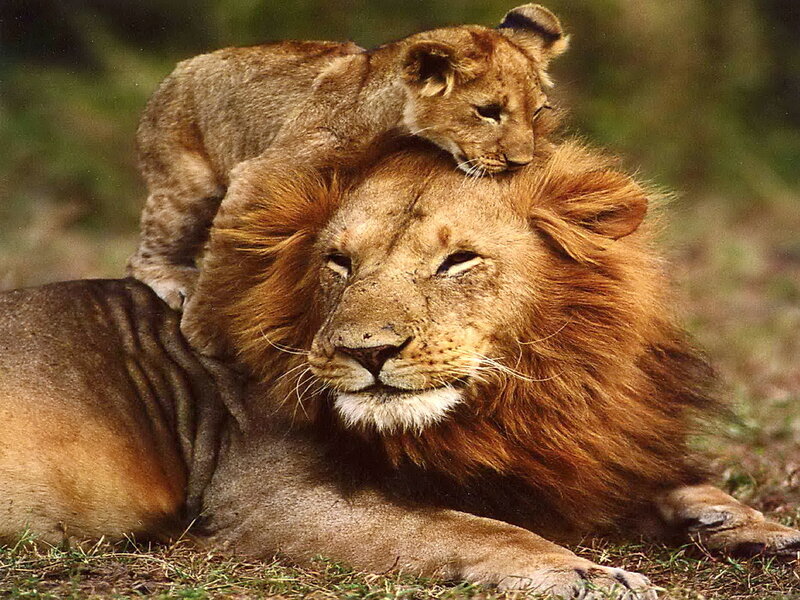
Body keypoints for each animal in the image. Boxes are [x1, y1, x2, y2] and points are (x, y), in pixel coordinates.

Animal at [2, 139, 799, 599]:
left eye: (458, 261)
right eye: (338, 262)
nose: (367, 352)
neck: (508, 402)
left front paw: (748, 523)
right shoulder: (261, 499)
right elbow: (467, 529)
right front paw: (586, 573)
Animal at [127, 3, 567, 310]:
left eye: (537, 112)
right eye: (488, 112)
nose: (521, 163)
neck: (391, 126)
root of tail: (176, 71)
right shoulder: (260, 174)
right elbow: (228, 257)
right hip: (187, 184)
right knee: (142, 256)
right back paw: (171, 278)